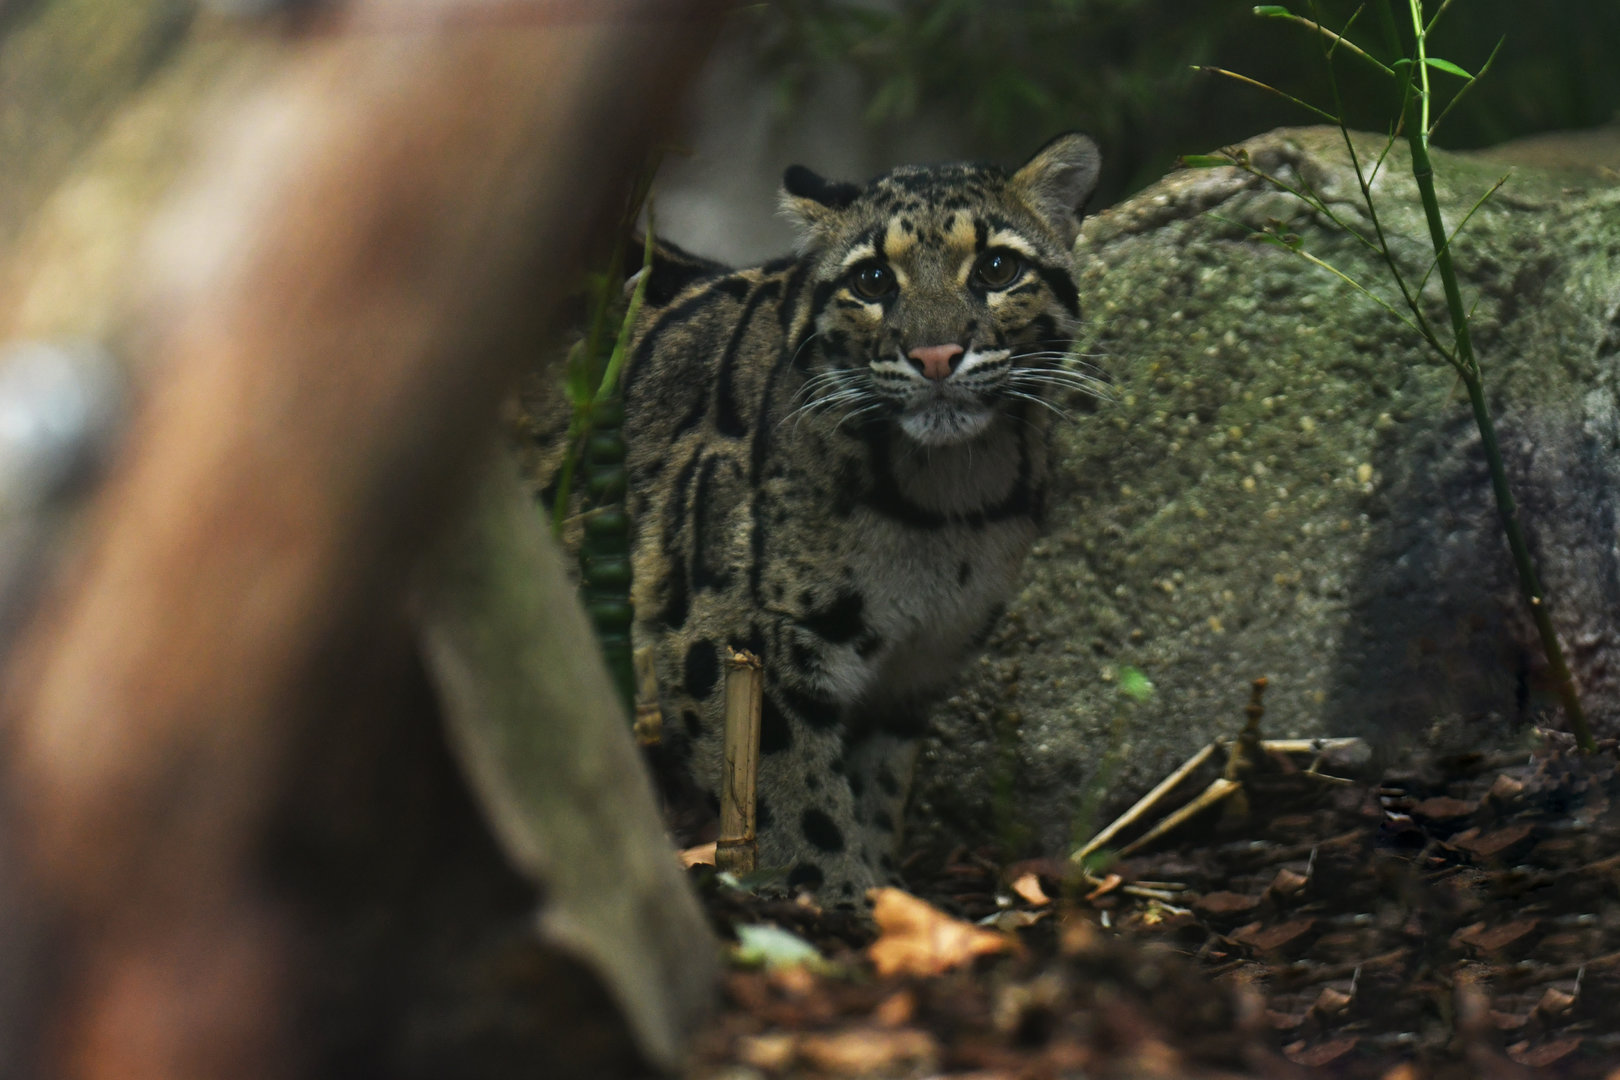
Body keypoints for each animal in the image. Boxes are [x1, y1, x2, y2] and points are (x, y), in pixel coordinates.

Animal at [519, 133, 1102, 906]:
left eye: (999, 269)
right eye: (873, 280)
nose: (936, 354)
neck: (950, 503)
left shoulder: (914, 667)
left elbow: (876, 788)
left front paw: (886, 891)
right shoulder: (724, 637)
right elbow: (794, 794)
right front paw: (838, 900)